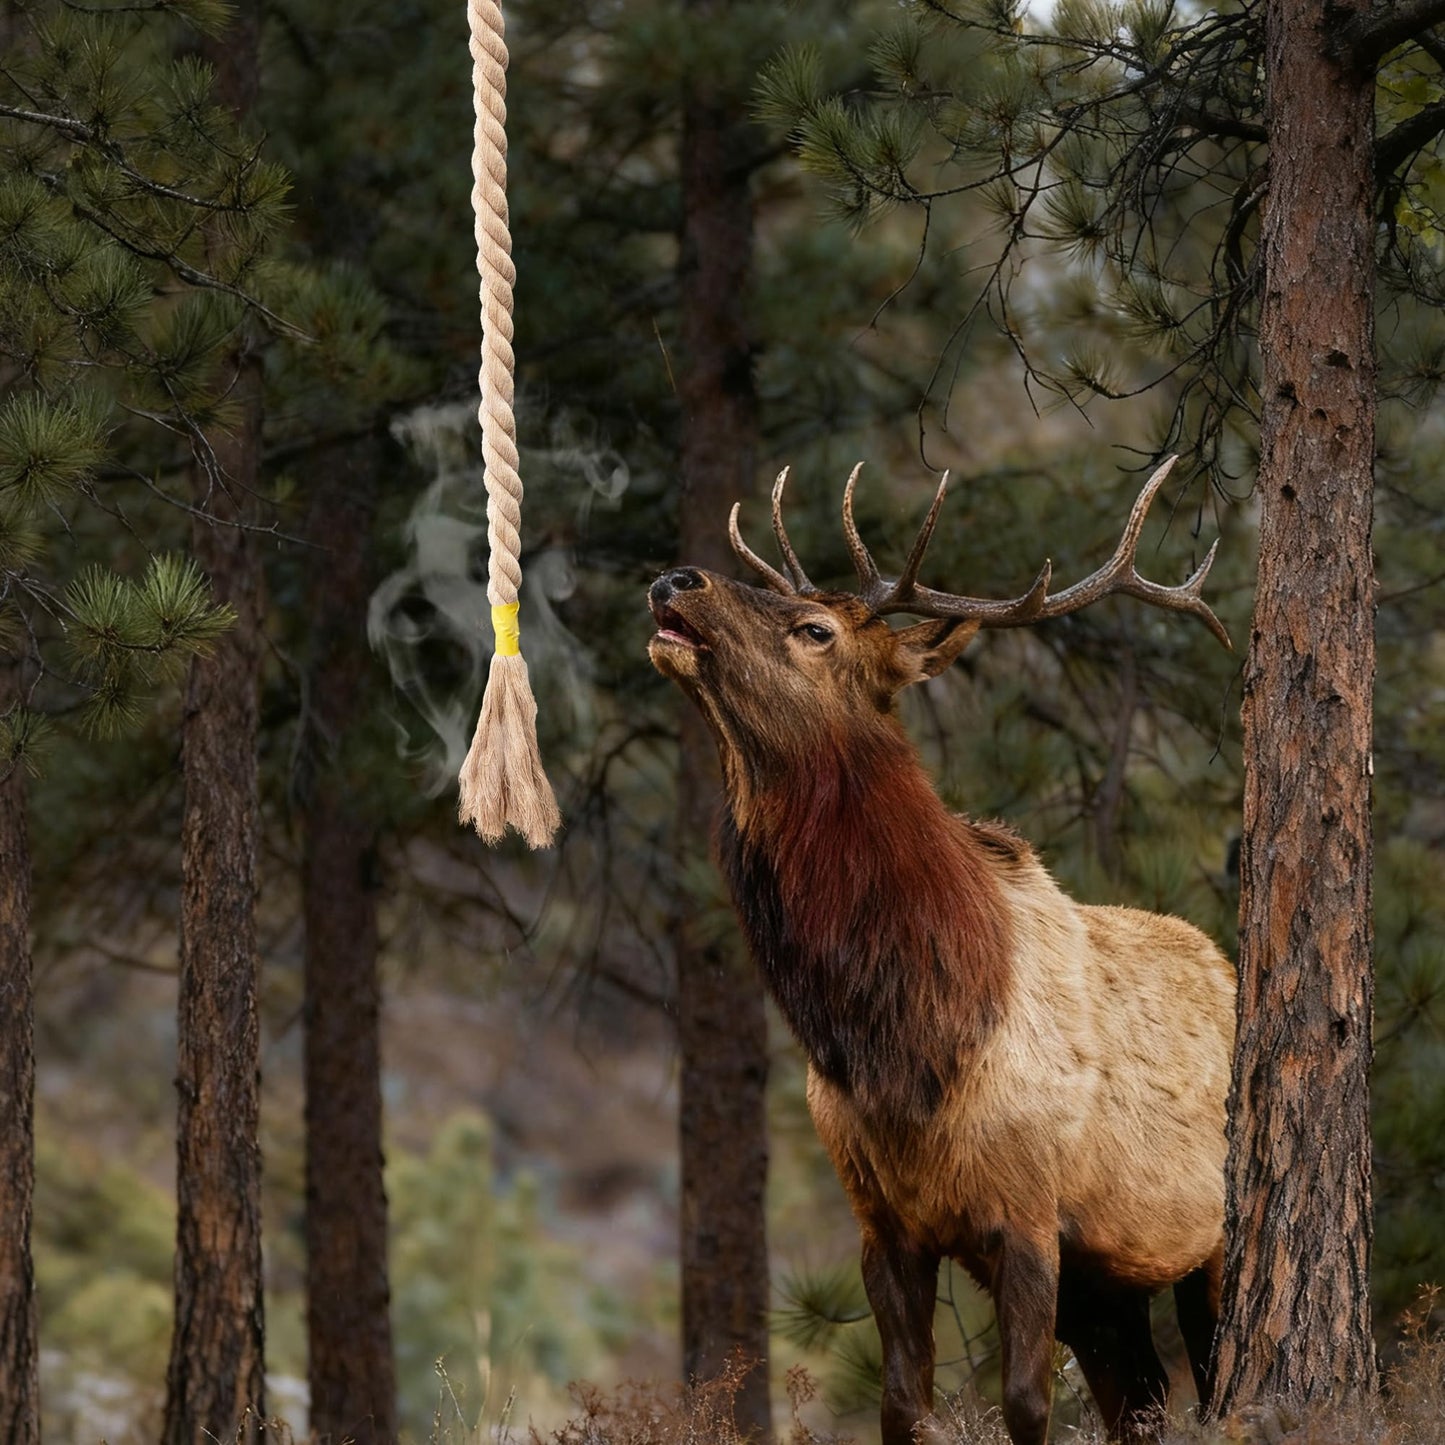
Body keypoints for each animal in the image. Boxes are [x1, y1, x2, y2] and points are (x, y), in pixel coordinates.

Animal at [647, 458, 1237, 1445]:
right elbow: (901, 1407)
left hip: (1208, 1240)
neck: (905, 1041)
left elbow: (1026, 1404)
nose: (671, 578)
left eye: (814, 629)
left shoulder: (1031, 1215)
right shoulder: (884, 1222)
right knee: (1143, 1396)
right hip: (1106, 1288)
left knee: (1213, 1377)